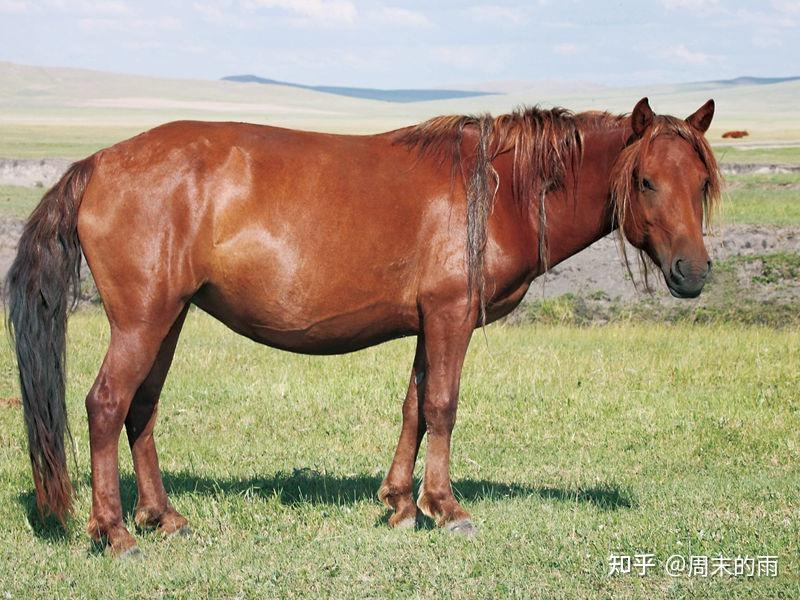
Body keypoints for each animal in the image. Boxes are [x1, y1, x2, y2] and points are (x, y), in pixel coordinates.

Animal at [6, 97, 720, 556]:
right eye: (646, 181)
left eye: (702, 182)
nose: (693, 272)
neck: (501, 189)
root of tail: (98, 163)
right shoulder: (451, 316)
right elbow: (443, 406)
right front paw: (446, 509)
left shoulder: (430, 322)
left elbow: (414, 407)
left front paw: (400, 504)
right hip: (143, 320)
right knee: (106, 405)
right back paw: (116, 532)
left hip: (168, 317)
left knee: (141, 409)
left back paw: (165, 518)